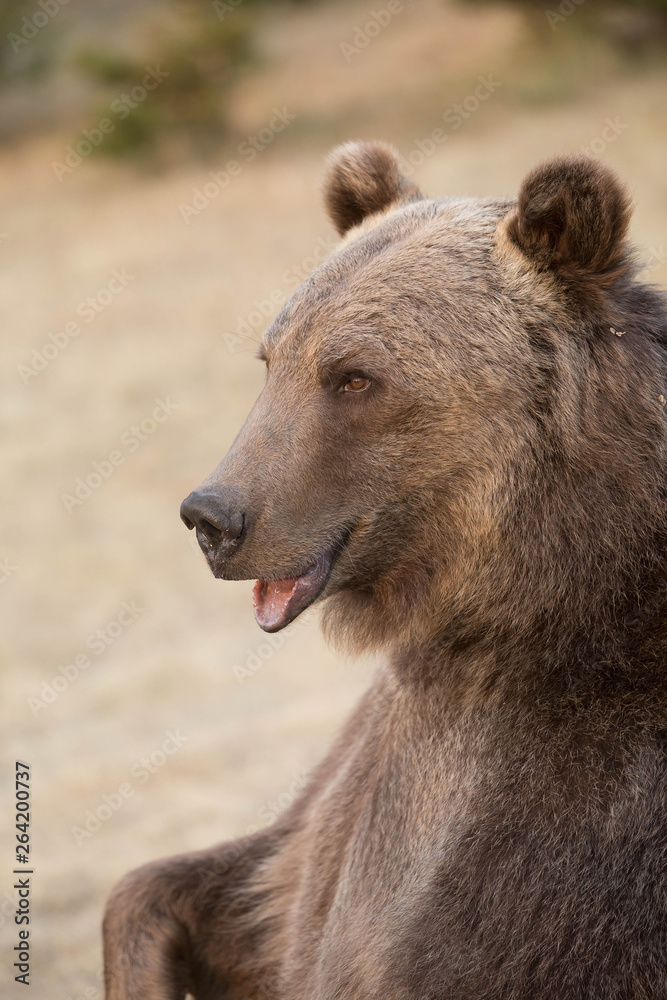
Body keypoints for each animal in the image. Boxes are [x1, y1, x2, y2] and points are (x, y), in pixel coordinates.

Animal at [103, 141, 667, 999]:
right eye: (272, 357)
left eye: (355, 377)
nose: (213, 517)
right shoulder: (352, 799)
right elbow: (228, 887)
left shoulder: (571, 825)